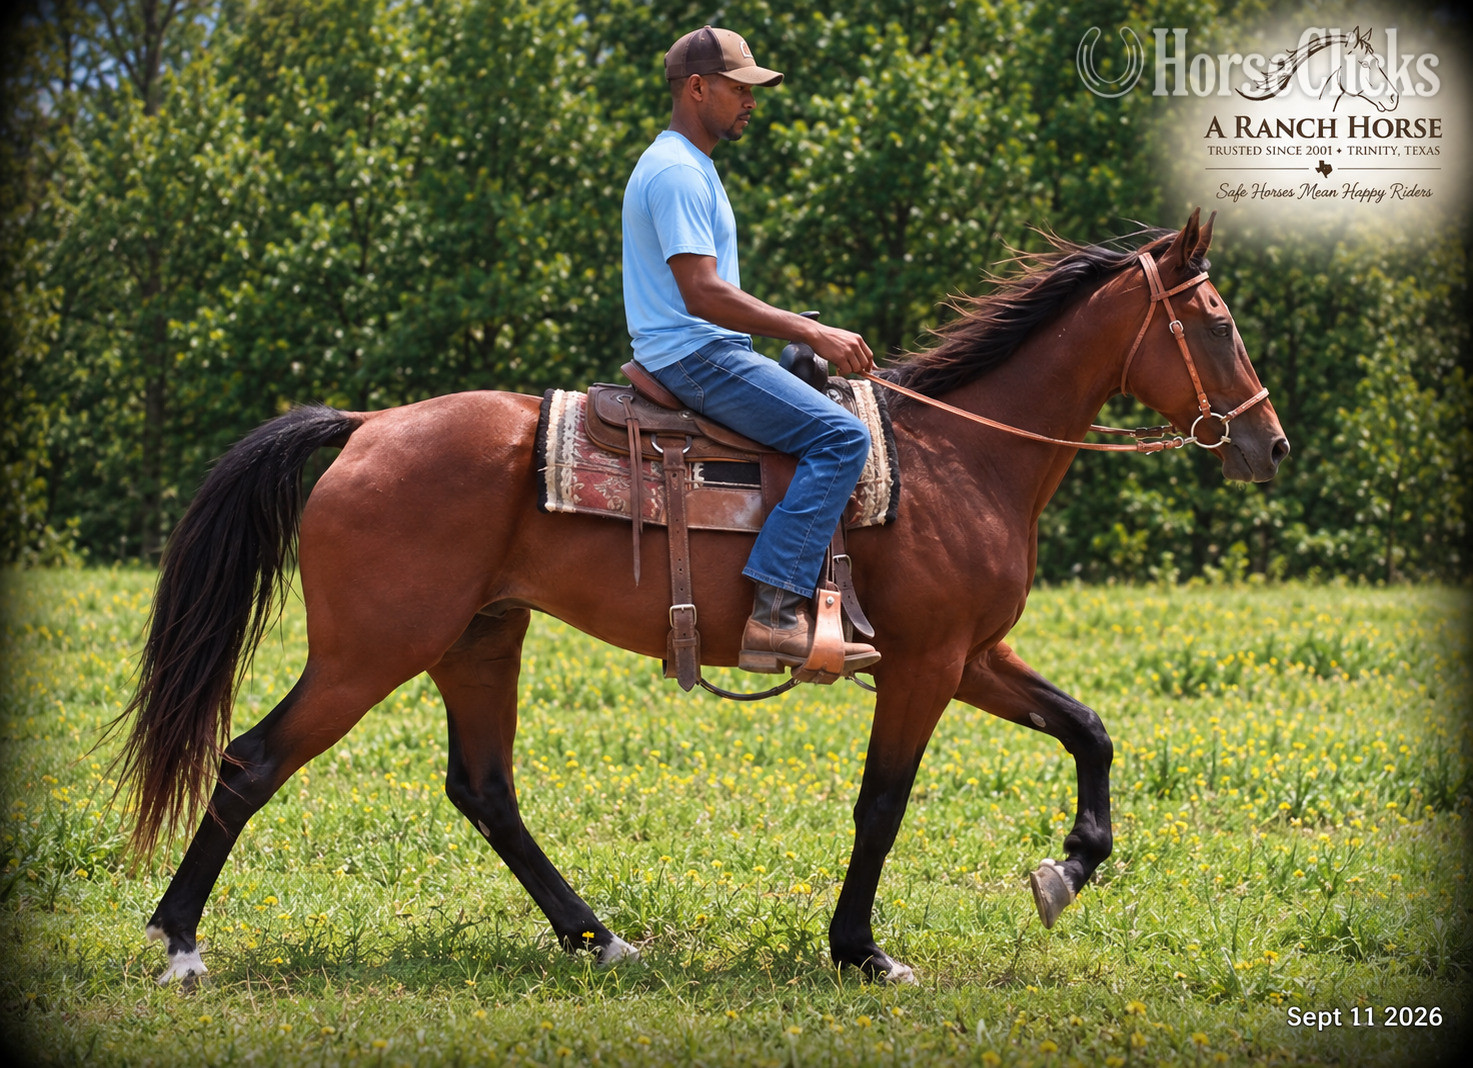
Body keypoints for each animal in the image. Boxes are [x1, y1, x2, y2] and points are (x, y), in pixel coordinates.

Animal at [113, 208, 1288, 987]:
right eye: (1217, 321)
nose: (1269, 446)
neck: (960, 459)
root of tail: (365, 427)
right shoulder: (923, 665)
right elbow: (883, 804)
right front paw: (862, 951)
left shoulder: (972, 655)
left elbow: (1087, 728)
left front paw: (1069, 868)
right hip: (369, 651)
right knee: (252, 761)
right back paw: (178, 942)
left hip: (480, 640)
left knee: (485, 791)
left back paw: (598, 938)